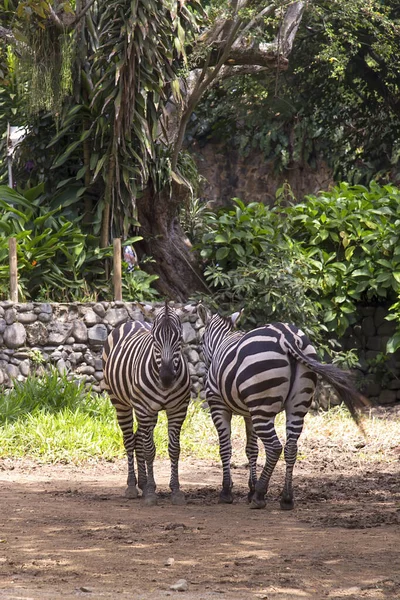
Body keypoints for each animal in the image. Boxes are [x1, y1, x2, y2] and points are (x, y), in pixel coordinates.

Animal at [101, 302, 192, 504]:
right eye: (154, 339)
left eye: (180, 339)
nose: (166, 378)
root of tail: (133, 321)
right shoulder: (144, 409)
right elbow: (150, 449)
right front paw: (150, 492)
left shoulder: (178, 409)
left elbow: (174, 449)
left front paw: (175, 490)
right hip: (121, 403)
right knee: (129, 440)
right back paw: (132, 486)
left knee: (137, 439)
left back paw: (142, 482)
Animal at [198, 308, 368, 508]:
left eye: (201, 339)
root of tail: (287, 336)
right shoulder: (249, 413)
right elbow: (251, 450)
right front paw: (250, 489)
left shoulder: (218, 405)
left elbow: (225, 447)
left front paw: (227, 491)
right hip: (295, 405)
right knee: (291, 447)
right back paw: (286, 498)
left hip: (262, 408)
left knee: (274, 447)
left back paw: (260, 495)